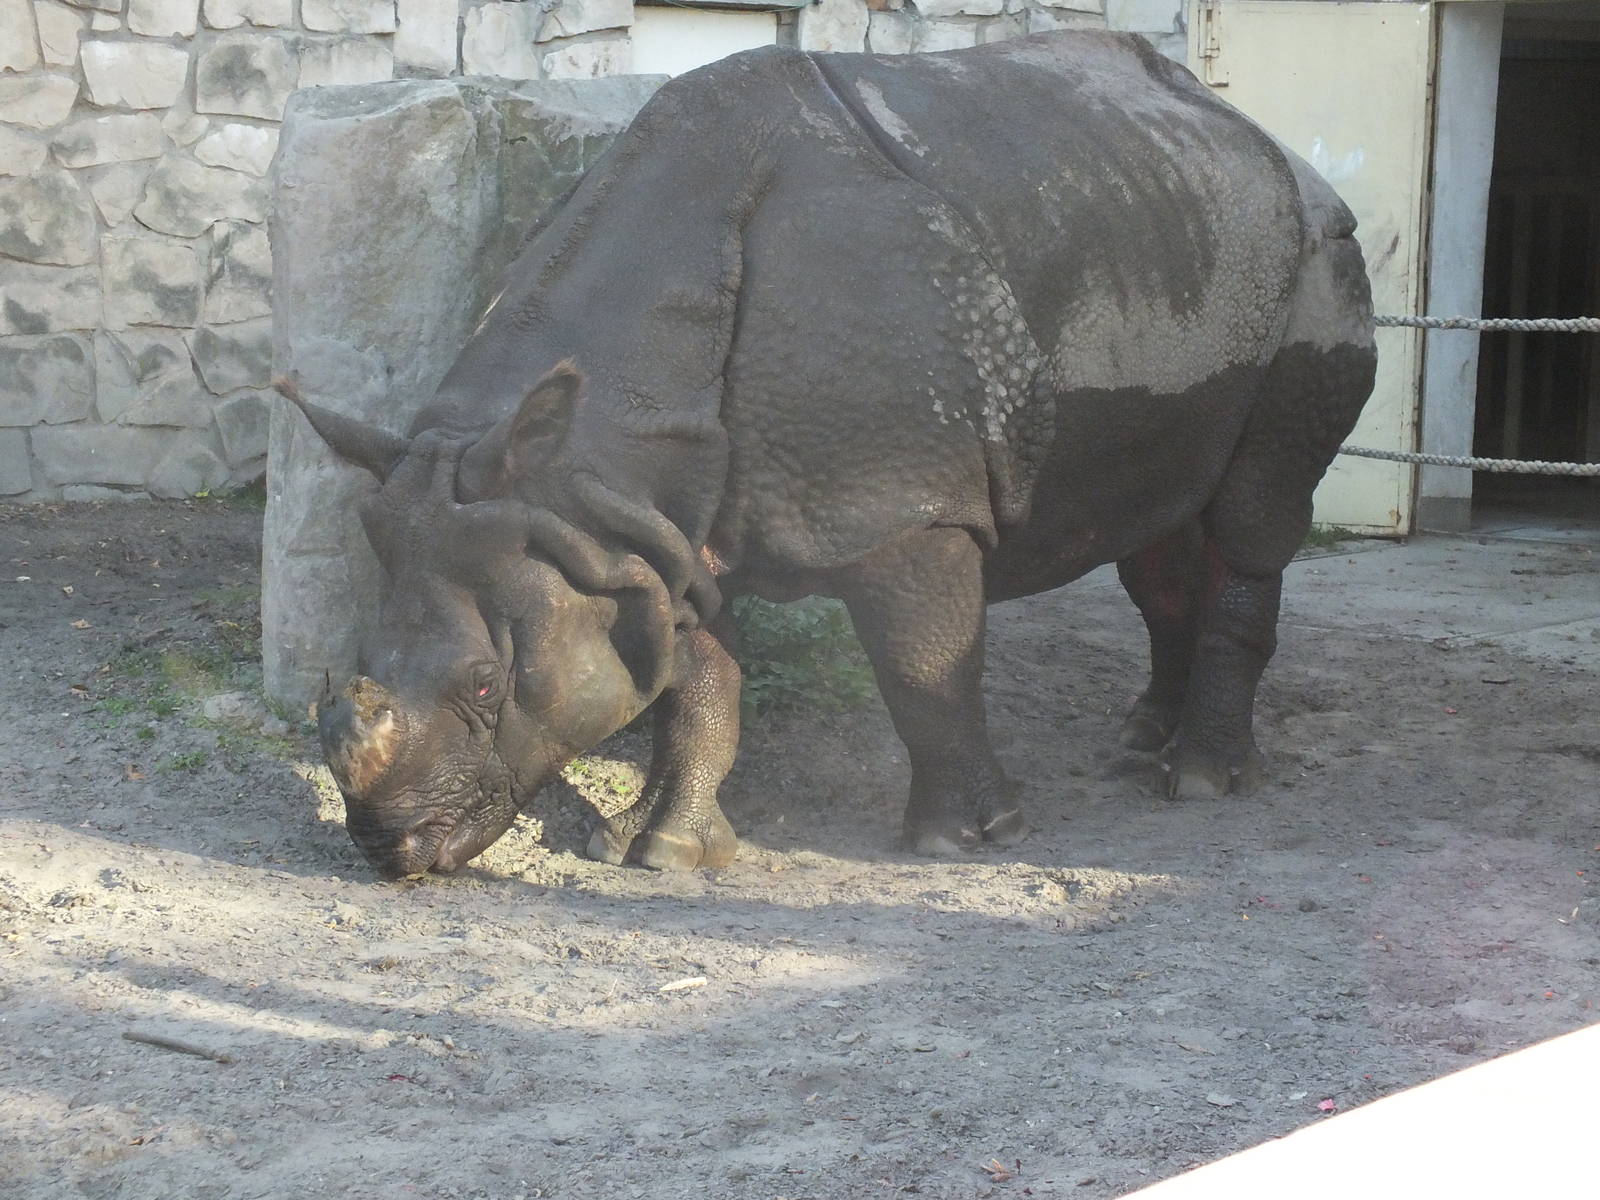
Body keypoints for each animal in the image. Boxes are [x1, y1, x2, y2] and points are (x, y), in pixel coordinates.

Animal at [277, 32, 1375, 879]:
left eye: (483, 687)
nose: (390, 851)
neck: (600, 440)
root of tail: (1274, 144)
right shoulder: (640, 526)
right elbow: (696, 687)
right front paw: (655, 852)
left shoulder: (902, 506)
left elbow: (923, 666)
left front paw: (965, 840)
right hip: (1171, 233)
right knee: (1161, 526)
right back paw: (1139, 741)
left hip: (1319, 265)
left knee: (1254, 515)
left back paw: (1202, 782)